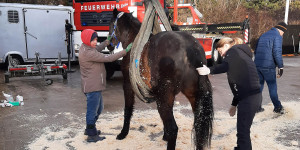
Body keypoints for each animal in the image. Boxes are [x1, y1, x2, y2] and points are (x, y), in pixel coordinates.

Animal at [108, 8, 213, 150]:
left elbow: (128, 109)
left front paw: (123, 133)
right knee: (198, 125)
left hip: (163, 97)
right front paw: (164, 136)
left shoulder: (128, 85)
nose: (108, 45)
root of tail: (190, 48)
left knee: (174, 128)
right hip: (192, 96)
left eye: (110, 25)